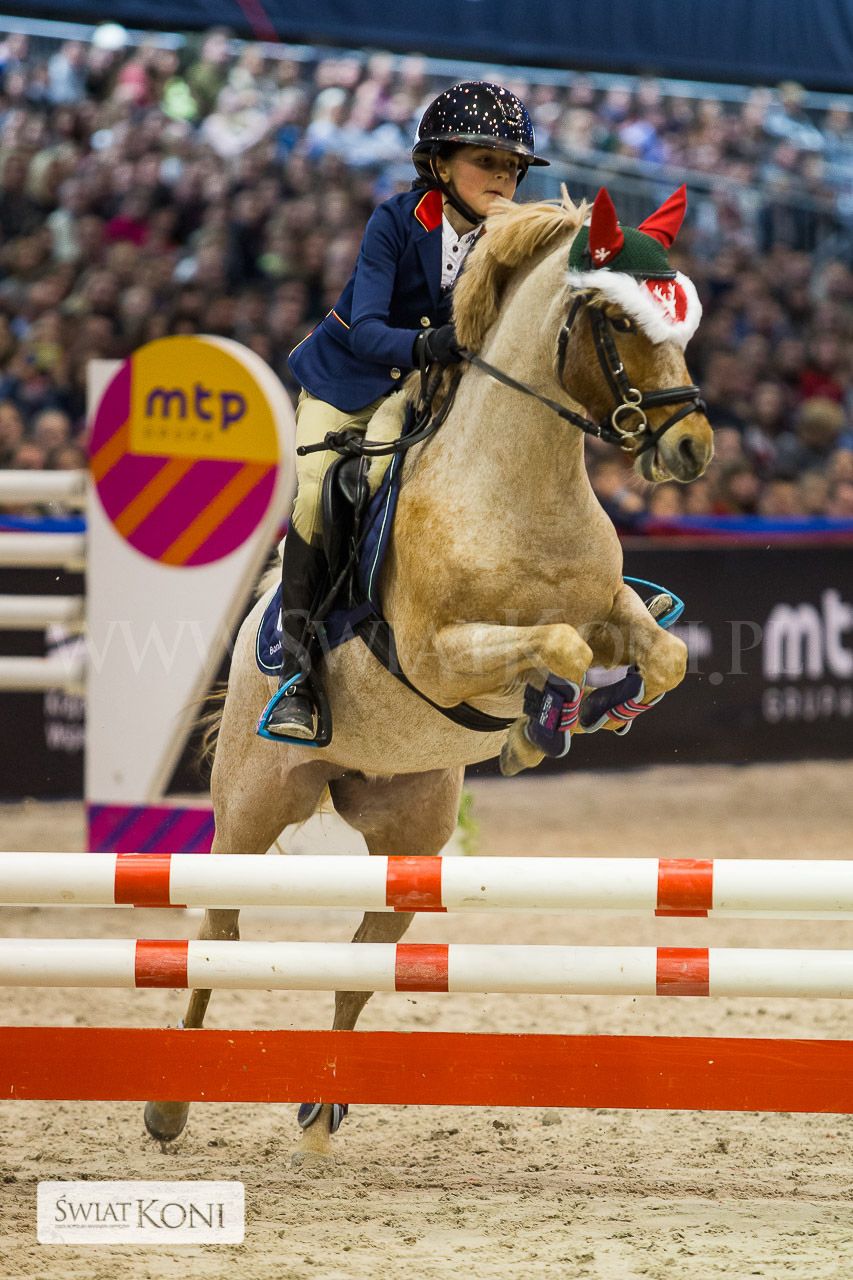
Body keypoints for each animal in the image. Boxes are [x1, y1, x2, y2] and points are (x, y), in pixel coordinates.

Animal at [144, 186, 714, 1155]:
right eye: (614, 319)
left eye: (677, 316)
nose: (692, 450)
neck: (519, 486)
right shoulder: (439, 657)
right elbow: (554, 649)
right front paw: (542, 722)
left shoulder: (609, 609)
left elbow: (659, 653)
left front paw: (584, 715)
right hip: (250, 813)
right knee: (216, 930)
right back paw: (167, 1105)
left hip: (409, 837)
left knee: (364, 958)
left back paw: (322, 1108)